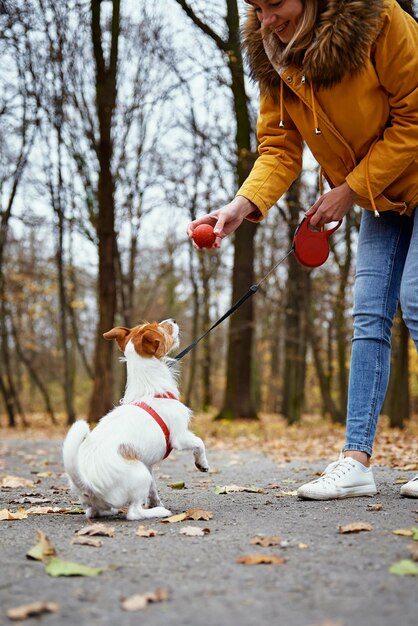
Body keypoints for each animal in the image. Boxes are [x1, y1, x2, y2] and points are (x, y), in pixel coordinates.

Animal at [62, 320, 209, 520]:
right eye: (161, 328)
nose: (173, 320)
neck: (149, 389)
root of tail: (87, 484)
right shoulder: (180, 437)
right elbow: (199, 442)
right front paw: (202, 464)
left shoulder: (148, 465)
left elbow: (153, 488)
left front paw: (155, 501)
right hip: (140, 475)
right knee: (134, 513)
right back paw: (159, 512)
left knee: (92, 512)